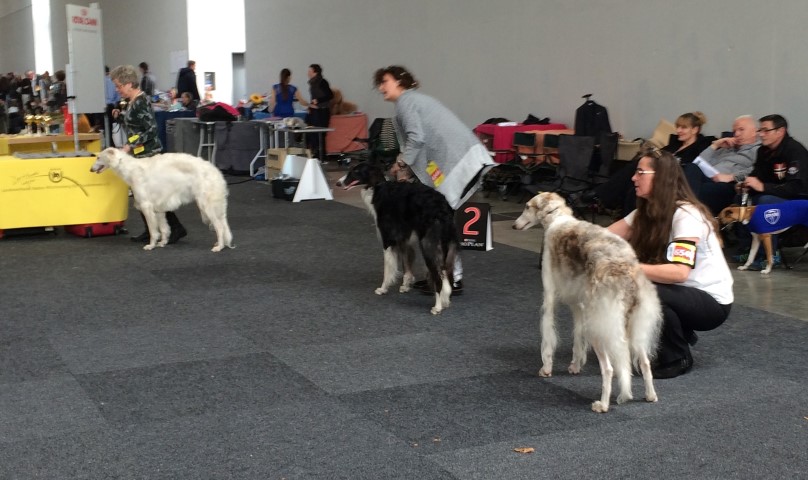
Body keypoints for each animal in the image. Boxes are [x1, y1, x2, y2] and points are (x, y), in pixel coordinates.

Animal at [90, 148, 234, 252]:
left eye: (98, 157)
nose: (90, 169)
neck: (130, 169)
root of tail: (216, 171)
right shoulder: (159, 209)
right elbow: (164, 229)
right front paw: (162, 243)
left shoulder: (146, 206)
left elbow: (153, 231)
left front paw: (151, 245)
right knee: (223, 225)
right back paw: (221, 243)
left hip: (206, 206)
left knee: (219, 226)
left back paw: (219, 247)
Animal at [338, 161, 459, 315]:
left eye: (356, 171)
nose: (338, 183)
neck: (378, 188)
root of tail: (443, 209)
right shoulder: (403, 239)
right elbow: (406, 264)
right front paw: (406, 285)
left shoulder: (388, 240)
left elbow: (388, 269)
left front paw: (383, 288)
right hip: (444, 245)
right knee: (445, 276)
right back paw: (445, 300)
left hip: (428, 246)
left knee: (438, 277)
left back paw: (437, 307)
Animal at [513, 192, 662, 413]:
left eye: (527, 206)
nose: (515, 225)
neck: (558, 220)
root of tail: (626, 270)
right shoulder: (579, 305)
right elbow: (577, 337)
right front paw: (575, 365)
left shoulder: (549, 298)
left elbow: (548, 339)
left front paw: (546, 368)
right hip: (632, 325)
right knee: (644, 363)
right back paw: (650, 395)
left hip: (600, 328)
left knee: (609, 369)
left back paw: (603, 404)